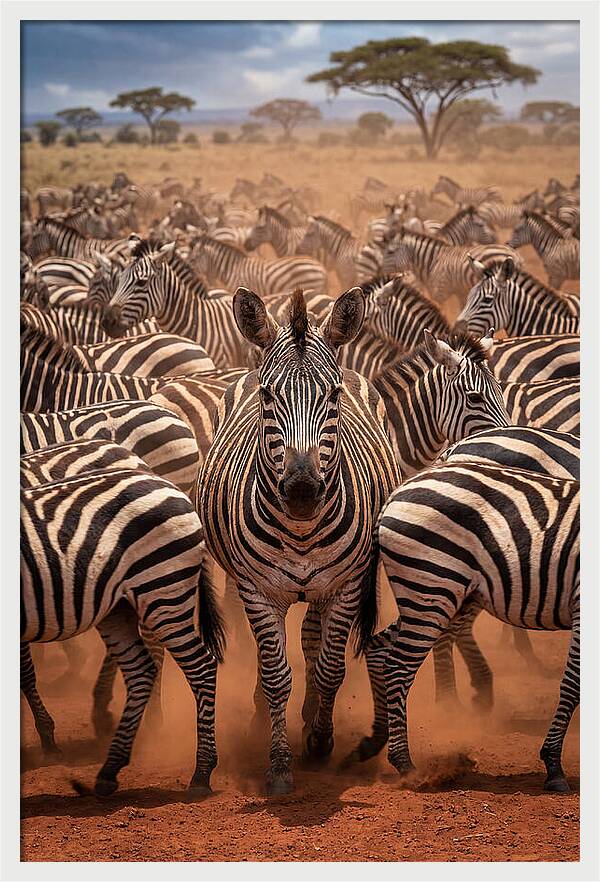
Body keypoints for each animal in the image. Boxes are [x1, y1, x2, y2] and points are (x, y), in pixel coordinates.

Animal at [21, 464, 225, 795]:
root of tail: (169, 486)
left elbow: (25, 672)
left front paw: (48, 740)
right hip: (121, 606)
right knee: (142, 669)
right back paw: (110, 768)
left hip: (162, 590)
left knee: (201, 667)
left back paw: (201, 773)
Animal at [199, 287, 400, 794]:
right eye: (268, 396)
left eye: (333, 395)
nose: (303, 491)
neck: (303, 531)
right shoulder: (257, 590)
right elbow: (275, 674)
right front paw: (279, 764)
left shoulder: (346, 585)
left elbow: (330, 667)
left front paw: (320, 741)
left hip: (327, 587)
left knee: (312, 637)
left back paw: (311, 717)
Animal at [352, 463, 579, 794]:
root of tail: (397, 492)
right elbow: (573, 685)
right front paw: (553, 765)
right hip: (431, 586)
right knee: (397, 666)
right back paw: (405, 765)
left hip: (432, 594)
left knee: (378, 647)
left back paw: (374, 740)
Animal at [381, 228, 521, 303]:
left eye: (390, 251)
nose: (379, 271)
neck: (432, 261)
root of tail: (514, 254)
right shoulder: (461, 293)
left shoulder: (440, 293)